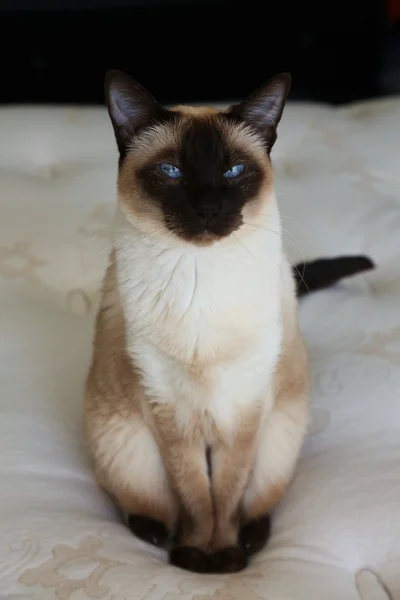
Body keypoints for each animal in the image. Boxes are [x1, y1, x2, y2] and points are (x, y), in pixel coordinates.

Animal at [85, 72, 376, 576]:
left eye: (235, 172)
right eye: (172, 172)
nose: (207, 208)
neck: (201, 279)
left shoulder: (245, 409)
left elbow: (226, 493)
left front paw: (224, 558)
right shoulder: (169, 412)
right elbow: (196, 497)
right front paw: (195, 559)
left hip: (279, 436)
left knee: (259, 500)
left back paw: (250, 540)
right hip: (123, 441)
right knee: (143, 503)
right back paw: (158, 534)